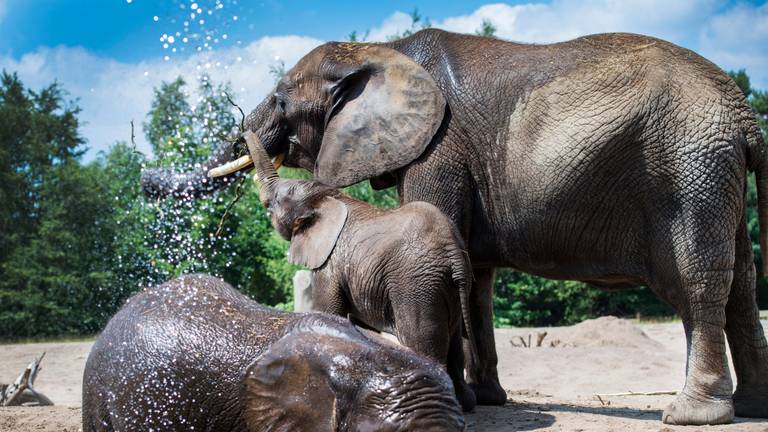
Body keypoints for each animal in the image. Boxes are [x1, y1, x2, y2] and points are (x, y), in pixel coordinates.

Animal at [244, 132, 480, 412]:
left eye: (274, 203)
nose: (243, 132)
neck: (330, 198)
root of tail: (454, 254)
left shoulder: (329, 264)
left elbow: (329, 312)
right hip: (447, 286)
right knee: (454, 341)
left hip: (417, 285)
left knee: (422, 341)